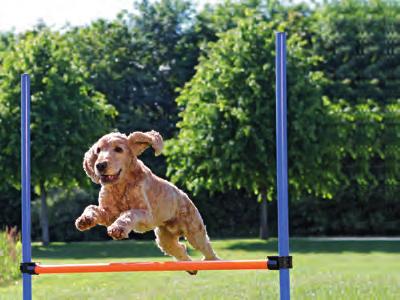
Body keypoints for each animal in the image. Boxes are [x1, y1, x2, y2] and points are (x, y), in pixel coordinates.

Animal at [75, 130, 219, 274]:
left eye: (118, 149)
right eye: (98, 150)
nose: (100, 165)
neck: (121, 185)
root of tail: (185, 195)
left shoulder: (145, 214)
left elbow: (129, 213)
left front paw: (117, 229)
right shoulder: (109, 213)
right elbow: (92, 208)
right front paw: (85, 220)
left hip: (194, 232)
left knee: (206, 247)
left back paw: (213, 261)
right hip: (164, 239)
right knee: (180, 249)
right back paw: (191, 268)